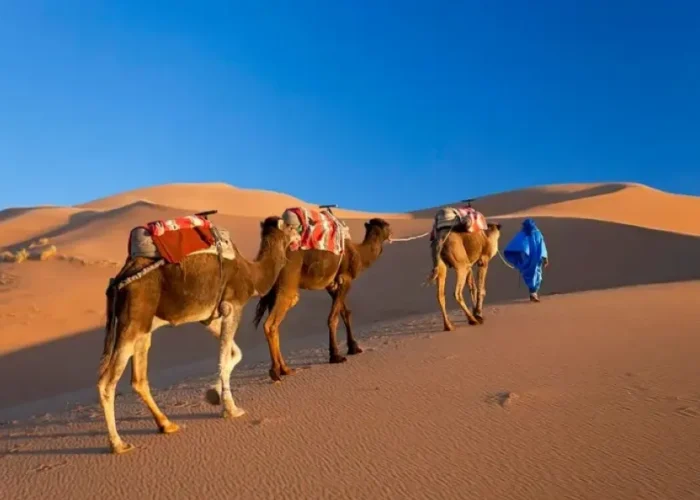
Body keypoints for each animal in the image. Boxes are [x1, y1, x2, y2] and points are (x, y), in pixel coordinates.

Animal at [97, 215, 299, 454]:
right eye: (290, 226)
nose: (299, 233)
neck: (252, 273)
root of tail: (118, 281)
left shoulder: (209, 317)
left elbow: (234, 354)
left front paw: (214, 394)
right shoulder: (232, 306)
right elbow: (224, 357)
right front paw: (231, 409)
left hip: (143, 326)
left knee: (138, 378)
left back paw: (167, 425)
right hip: (132, 320)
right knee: (107, 381)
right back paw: (118, 444)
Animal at [253, 217, 393, 382]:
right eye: (386, 225)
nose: (392, 232)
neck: (359, 254)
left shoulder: (331, 284)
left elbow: (345, 313)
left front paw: (353, 347)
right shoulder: (345, 279)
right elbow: (333, 318)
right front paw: (336, 356)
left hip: (274, 290)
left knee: (276, 325)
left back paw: (285, 369)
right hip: (287, 283)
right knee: (271, 324)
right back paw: (275, 370)